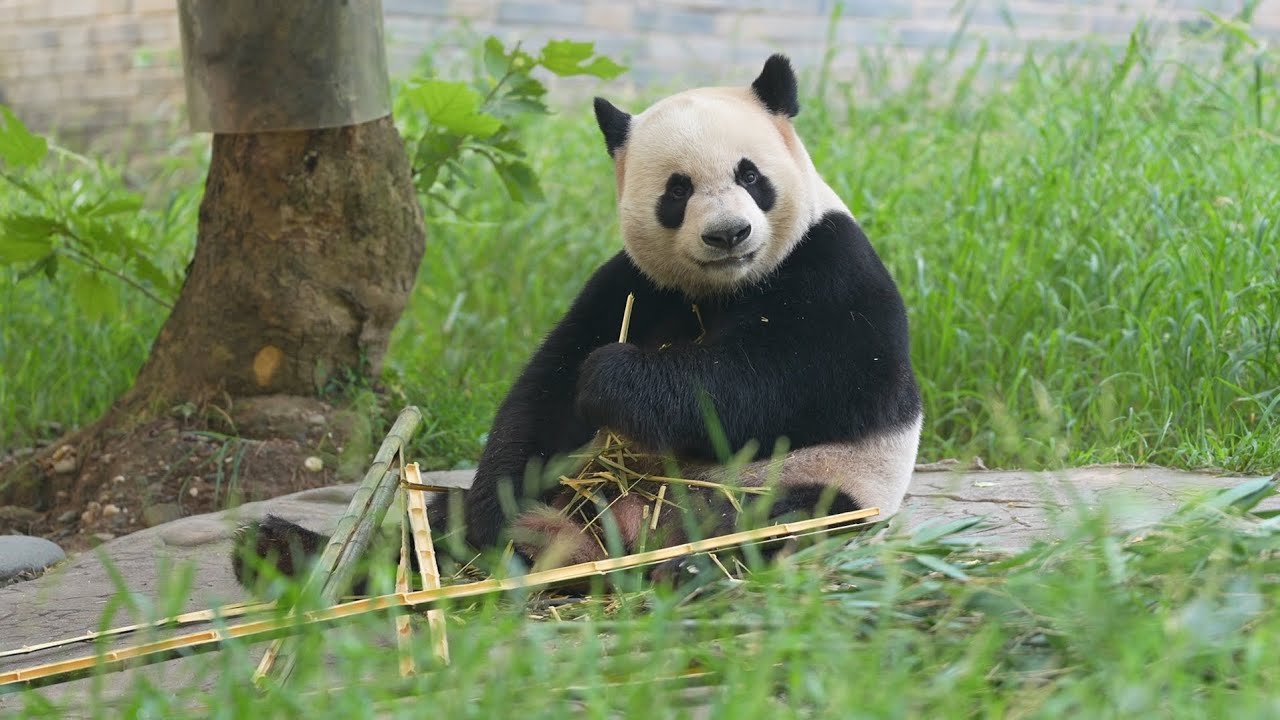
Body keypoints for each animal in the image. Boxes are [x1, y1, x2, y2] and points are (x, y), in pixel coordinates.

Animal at [233, 54, 922, 589]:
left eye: (750, 175)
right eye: (677, 191)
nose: (728, 234)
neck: (723, 288)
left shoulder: (831, 265)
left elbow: (800, 378)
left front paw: (616, 379)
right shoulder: (635, 285)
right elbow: (548, 389)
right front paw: (500, 507)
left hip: (821, 484)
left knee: (779, 521)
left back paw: (688, 566)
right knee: (427, 526)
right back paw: (281, 550)